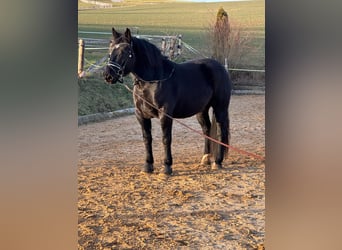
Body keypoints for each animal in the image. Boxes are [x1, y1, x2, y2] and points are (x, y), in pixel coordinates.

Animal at [103, 27, 232, 175]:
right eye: (110, 49)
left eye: (125, 52)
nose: (108, 75)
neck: (153, 80)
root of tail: (221, 68)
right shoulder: (140, 115)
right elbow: (147, 139)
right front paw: (148, 166)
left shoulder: (165, 114)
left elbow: (166, 139)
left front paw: (167, 167)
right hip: (201, 110)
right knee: (207, 129)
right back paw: (206, 158)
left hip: (220, 108)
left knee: (220, 131)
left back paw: (217, 162)